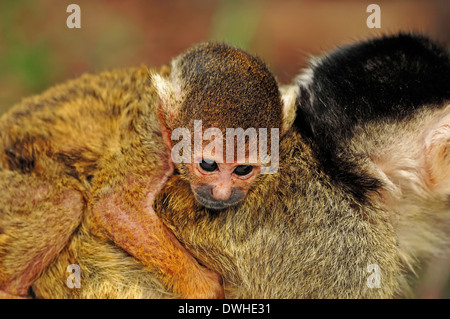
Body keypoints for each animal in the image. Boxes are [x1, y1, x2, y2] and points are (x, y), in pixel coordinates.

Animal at [0, 42, 282, 300]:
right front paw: (197, 284)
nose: (222, 193)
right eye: (208, 165)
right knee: (66, 203)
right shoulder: (152, 140)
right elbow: (114, 205)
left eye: (243, 169)